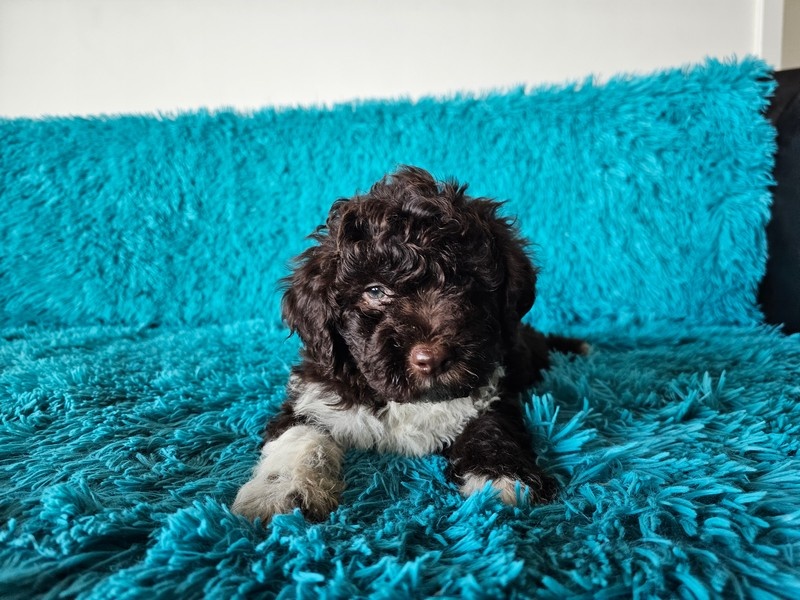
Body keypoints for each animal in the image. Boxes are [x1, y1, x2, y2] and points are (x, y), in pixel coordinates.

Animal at [233, 166, 588, 524]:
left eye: (466, 283)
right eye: (375, 291)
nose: (432, 359)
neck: (406, 400)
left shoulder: (491, 389)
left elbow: (492, 427)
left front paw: (503, 476)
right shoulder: (313, 394)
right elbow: (299, 435)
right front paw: (282, 491)